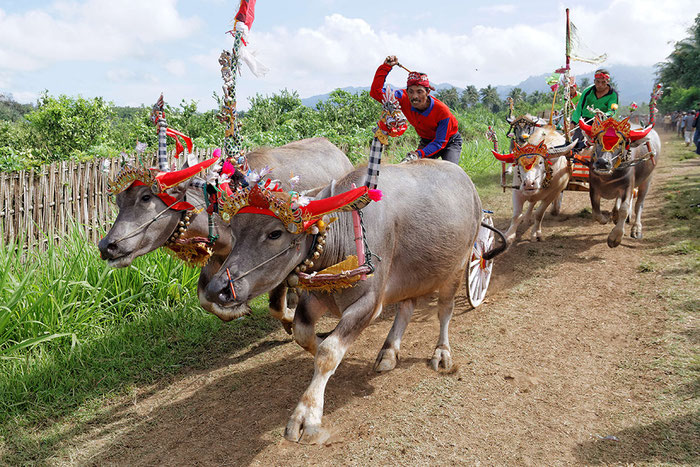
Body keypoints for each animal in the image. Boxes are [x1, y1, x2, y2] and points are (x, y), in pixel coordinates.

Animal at [95, 137, 352, 324]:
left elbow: (276, 306)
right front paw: (237, 311)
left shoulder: (279, 260)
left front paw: (289, 315)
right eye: (118, 201)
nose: (107, 245)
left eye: (146, 197)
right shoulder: (219, 257)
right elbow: (205, 297)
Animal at [202, 162, 504, 446]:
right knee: (406, 308)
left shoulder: (369, 302)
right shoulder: (316, 297)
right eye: (235, 231)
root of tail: (468, 183)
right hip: (413, 276)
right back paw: (388, 352)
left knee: (444, 311)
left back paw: (441, 353)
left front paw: (306, 415)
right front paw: (320, 352)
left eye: (275, 233)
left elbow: (329, 352)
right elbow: (304, 335)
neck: (342, 238)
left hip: (456, 268)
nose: (218, 289)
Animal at [576, 116, 660, 249]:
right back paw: (615, 215)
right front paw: (606, 219)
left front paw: (615, 237)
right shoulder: (594, 187)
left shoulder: (627, 187)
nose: (602, 163)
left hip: (647, 180)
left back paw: (636, 229)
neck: (608, 177)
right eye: (598, 140)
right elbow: (596, 212)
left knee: (639, 204)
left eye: (620, 143)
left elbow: (624, 210)